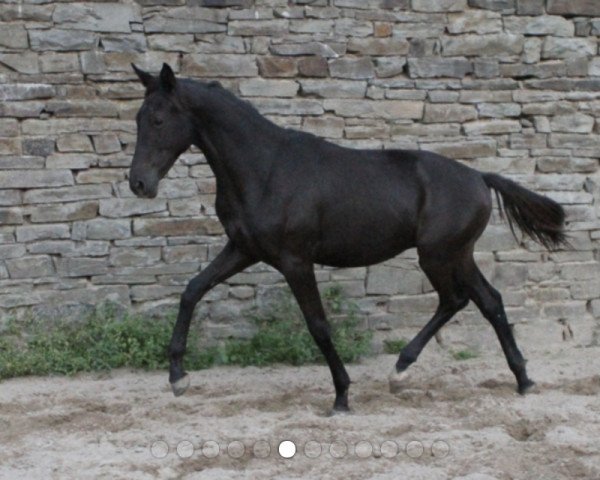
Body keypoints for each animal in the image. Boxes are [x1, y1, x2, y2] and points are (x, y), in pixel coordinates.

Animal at [129, 63, 564, 414]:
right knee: (488, 301)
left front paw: (341, 396)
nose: (138, 184)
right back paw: (520, 380)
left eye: (159, 119)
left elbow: (318, 325)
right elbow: (192, 290)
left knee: (457, 299)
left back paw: (402, 370)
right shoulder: (243, 249)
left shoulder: (295, 260)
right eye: (138, 118)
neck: (266, 169)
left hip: (438, 255)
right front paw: (178, 378)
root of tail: (480, 177)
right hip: (458, 255)